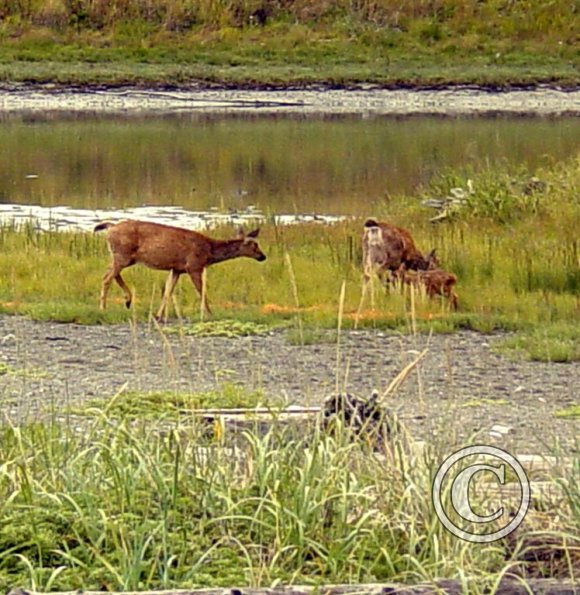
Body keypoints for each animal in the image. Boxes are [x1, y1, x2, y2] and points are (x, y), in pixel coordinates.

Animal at [95, 220, 268, 322]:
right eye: (255, 245)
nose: (263, 256)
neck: (209, 251)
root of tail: (110, 227)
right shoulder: (194, 266)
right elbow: (202, 291)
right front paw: (210, 314)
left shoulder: (176, 269)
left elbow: (167, 291)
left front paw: (158, 315)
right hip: (123, 255)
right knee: (107, 277)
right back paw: (103, 308)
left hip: (123, 257)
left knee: (110, 273)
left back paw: (128, 300)